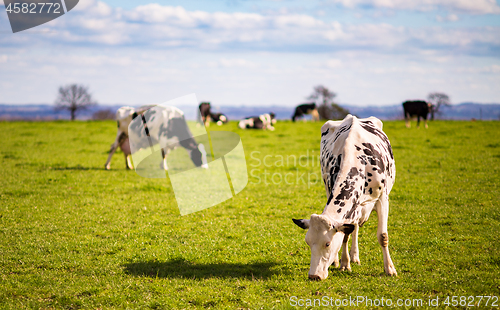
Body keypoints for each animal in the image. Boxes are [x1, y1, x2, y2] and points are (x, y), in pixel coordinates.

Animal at [292, 114, 396, 280]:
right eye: (308, 242)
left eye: (327, 243)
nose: (314, 276)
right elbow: (345, 234)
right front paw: (344, 264)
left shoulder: (383, 198)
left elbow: (382, 236)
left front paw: (390, 269)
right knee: (353, 228)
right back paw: (344, 259)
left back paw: (355, 256)